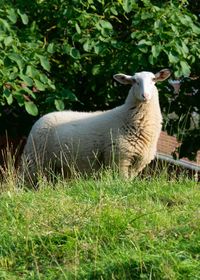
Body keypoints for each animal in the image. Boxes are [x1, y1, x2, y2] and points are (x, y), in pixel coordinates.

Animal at [19, 68, 170, 185]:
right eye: (134, 81)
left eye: (153, 80)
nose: (145, 95)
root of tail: (42, 118)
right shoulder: (119, 158)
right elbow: (122, 181)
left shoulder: (138, 161)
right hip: (34, 159)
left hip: (59, 166)